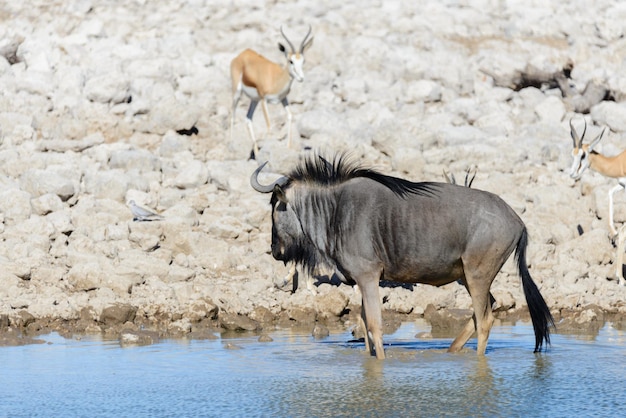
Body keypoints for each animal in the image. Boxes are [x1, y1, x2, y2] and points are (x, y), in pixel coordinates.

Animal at [228, 25, 312, 158]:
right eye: (291, 61)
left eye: (303, 61)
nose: (301, 78)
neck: (277, 79)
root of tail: (242, 54)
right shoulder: (264, 100)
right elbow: (269, 125)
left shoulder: (283, 99)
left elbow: (290, 116)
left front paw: (288, 148)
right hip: (237, 93)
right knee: (232, 114)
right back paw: (232, 147)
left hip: (254, 100)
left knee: (248, 119)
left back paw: (257, 153)